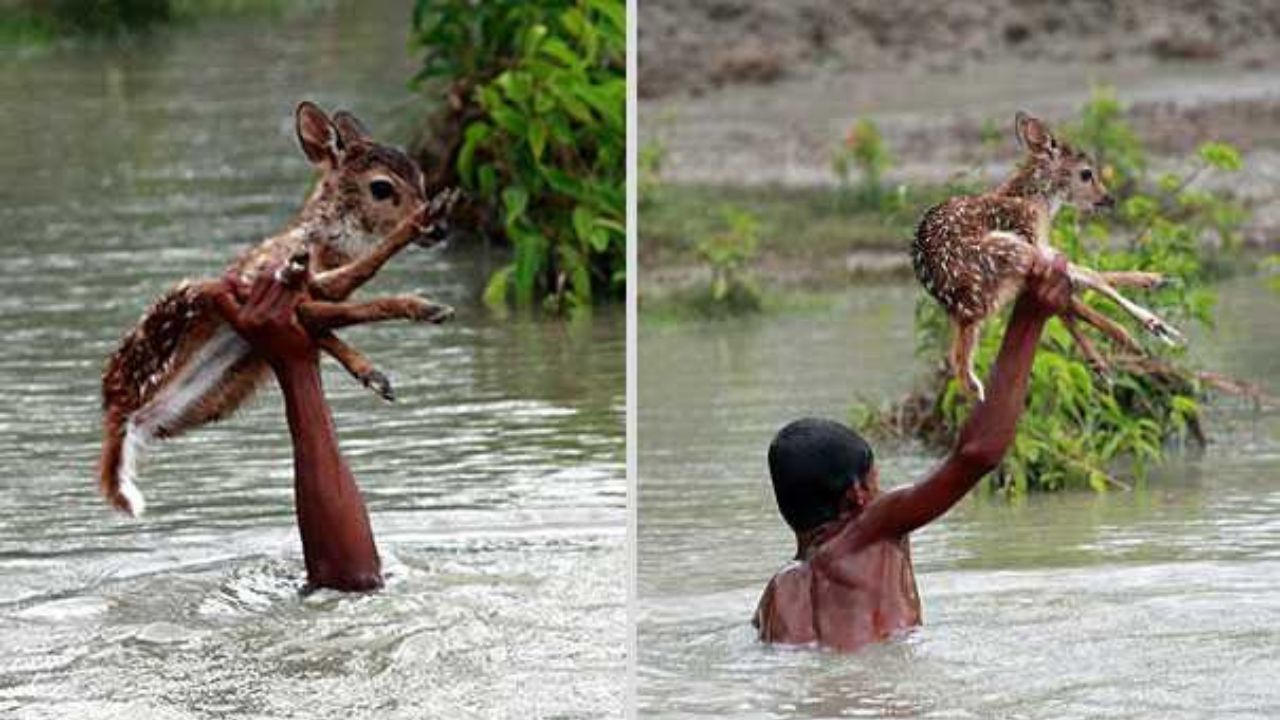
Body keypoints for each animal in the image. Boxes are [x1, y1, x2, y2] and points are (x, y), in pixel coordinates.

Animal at [99, 101, 460, 515]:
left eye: (421, 175)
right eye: (381, 187)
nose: (439, 229)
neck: (323, 245)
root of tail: (118, 414)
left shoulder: (305, 297)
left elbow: (333, 317)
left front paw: (374, 374)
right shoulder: (274, 283)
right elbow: (349, 290)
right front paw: (423, 305)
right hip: (188, 306)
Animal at [916, 113, 1182, 404]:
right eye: (1086, 173)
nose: (1109, 199)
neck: (1034, 201)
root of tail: (965, 308)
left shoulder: (1039, 253)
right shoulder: (1032, 240)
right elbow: (1088, 277)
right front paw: (1151, 322)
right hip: (1010, 249)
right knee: (1082, 283)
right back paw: (1146, 329)